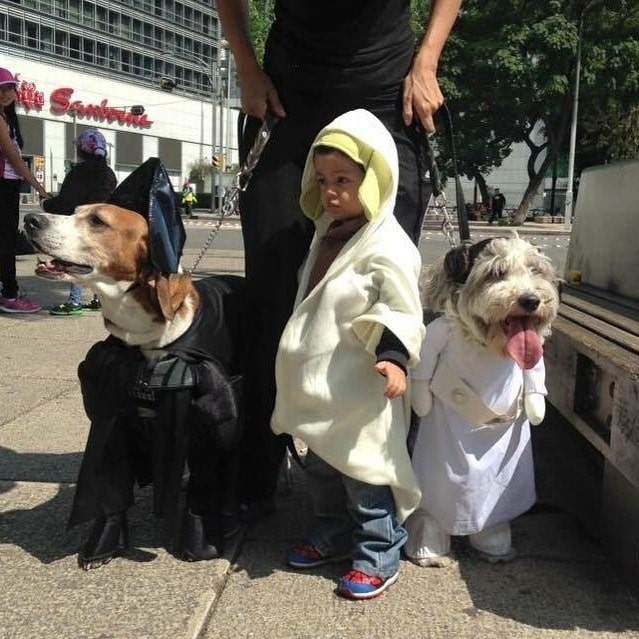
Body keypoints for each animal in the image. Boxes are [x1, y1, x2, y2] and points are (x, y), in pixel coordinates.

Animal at [23, 205, 245, 568]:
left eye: (97, 221)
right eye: (76, 210)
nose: (31, 219)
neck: (146, 336)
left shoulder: (207, 421)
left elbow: (202, 490)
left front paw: (198, 541)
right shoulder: (116, 413)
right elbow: (111, 489)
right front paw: (104, 542)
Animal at [404, 234, 560, 564]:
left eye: (535, 270)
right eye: (496, 273)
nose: (530, 300)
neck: (486, 348)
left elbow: (534, 377)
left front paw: (537, 409)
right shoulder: (437, 335)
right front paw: (422, 400)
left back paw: (494, 542)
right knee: (428, 513)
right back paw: (429, 548)